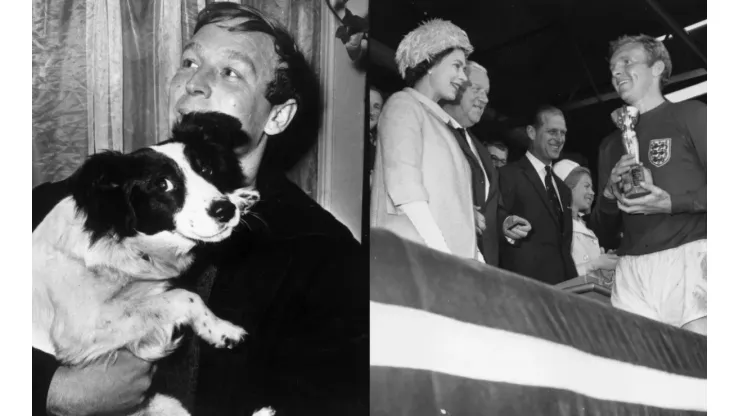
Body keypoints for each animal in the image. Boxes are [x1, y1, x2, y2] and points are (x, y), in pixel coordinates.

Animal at [33, 112, 262, 414]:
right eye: (162, 184)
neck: (119, 240)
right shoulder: (83, 328)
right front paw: (223, 330)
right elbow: (185, 296)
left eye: (206, 170)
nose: (225, 210)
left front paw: (242, 196)